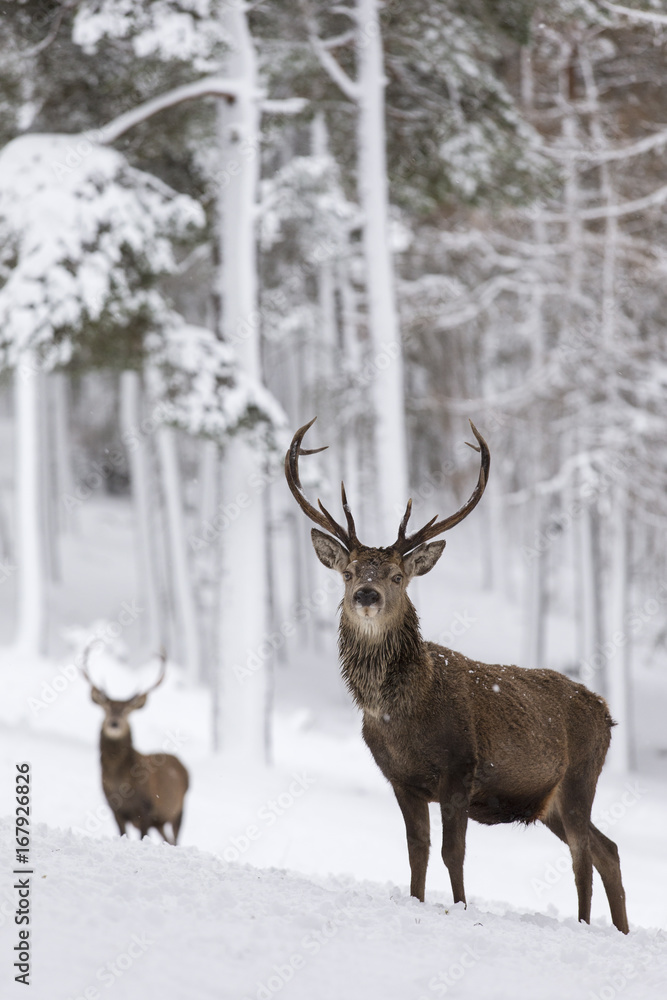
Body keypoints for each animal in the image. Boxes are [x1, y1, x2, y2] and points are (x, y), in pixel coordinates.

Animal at [81, 646, 189, 845]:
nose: (114, 723)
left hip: (178, 810)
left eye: (127, 711)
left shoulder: (146, 809)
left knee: (175, 838)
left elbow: (142, 837)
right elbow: (122, 833)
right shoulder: (115, 809)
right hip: (160, 821)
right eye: (106, 709)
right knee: (167, 838)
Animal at [285, 417, 629, 934]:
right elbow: (418, 852)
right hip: (549, 801)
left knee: (583, 857)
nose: (366, 595)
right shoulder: (402, 781)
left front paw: (462, 907)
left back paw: (587, 925)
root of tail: (607, 714)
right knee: (607, 848)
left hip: (579, 777)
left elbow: (454, 853)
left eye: (397, 576)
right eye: (347, 573)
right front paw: (416, 900)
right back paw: (620, 929)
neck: (401, 715)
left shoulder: (459, 771)